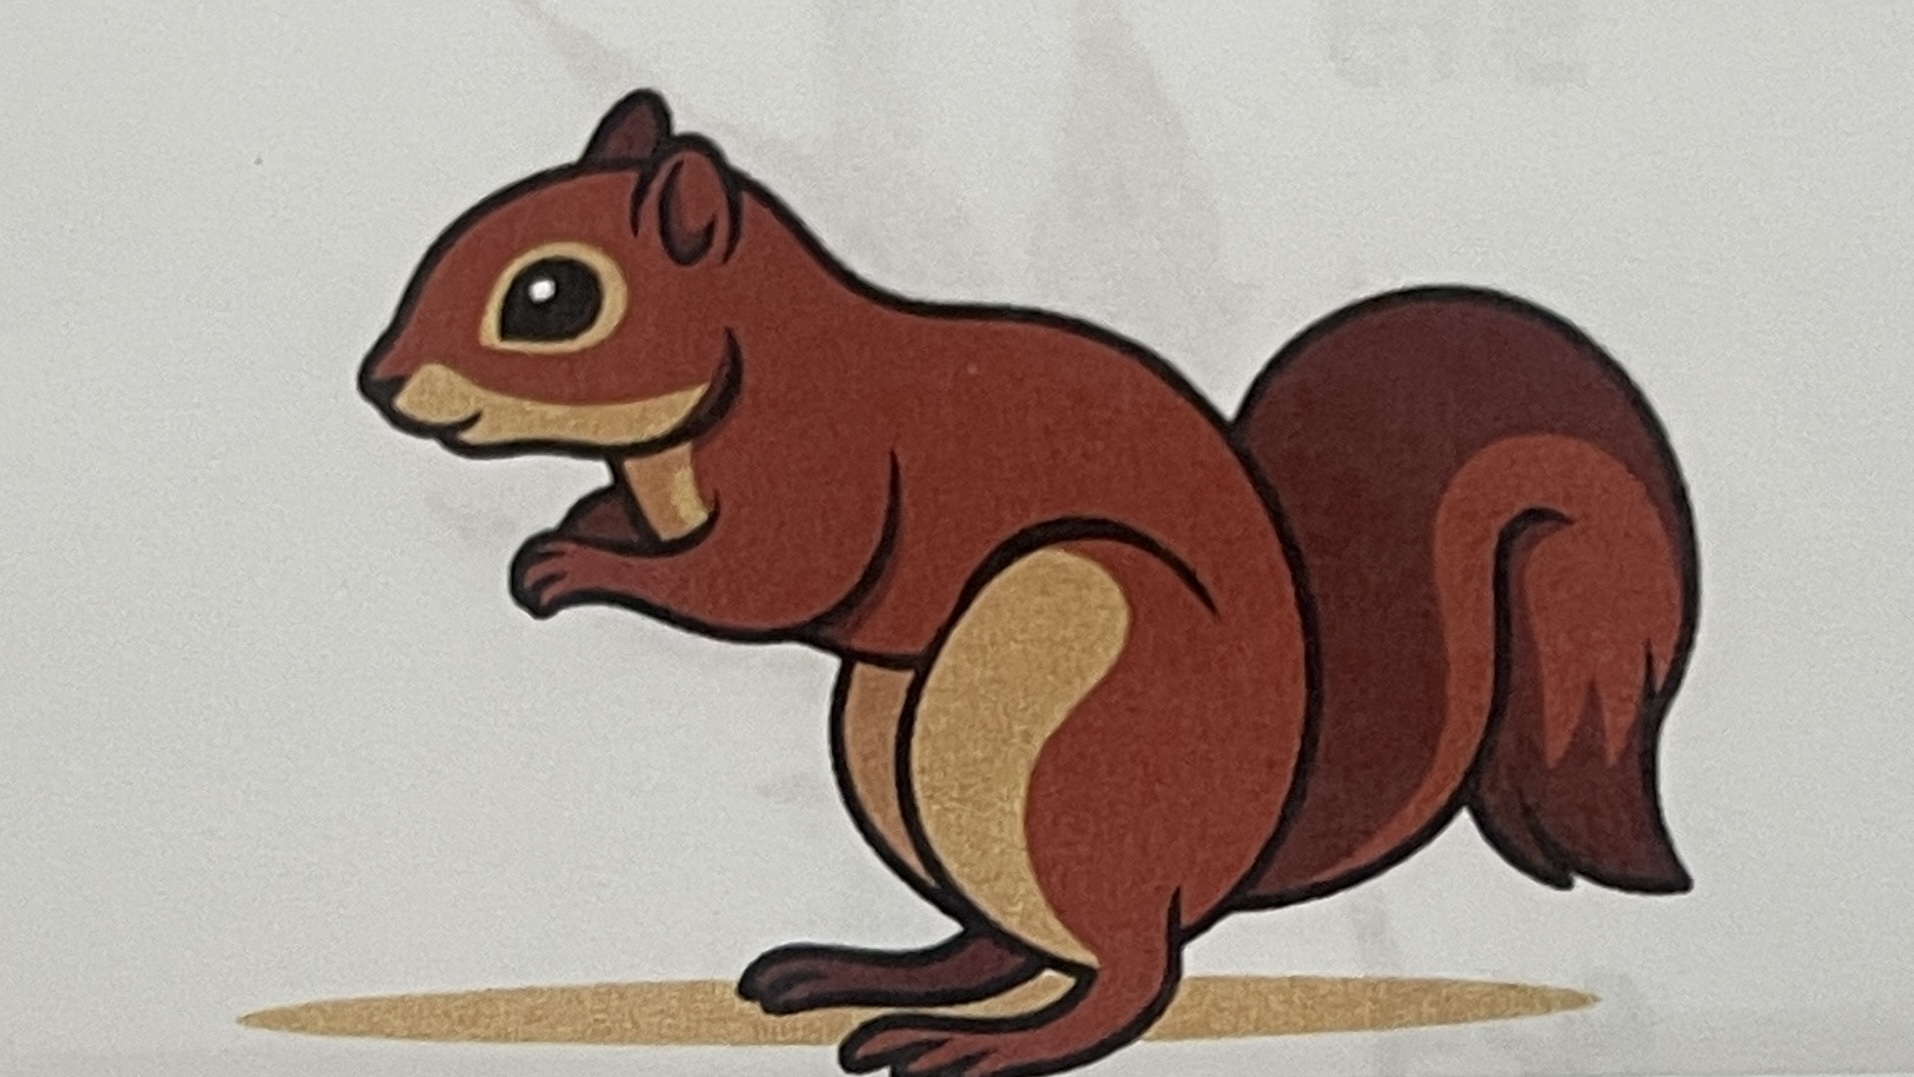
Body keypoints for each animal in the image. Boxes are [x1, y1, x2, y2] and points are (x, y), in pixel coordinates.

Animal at [357, 89, 1699, 1077]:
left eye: (553, 296)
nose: (377, 382)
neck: (760, 348)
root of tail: (1236, 848)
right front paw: (587, 520)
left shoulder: (827, 469)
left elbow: (765, 584)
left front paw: (572, 564)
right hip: (897, 740)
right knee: (999, 939)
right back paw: (864, 976)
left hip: (1064, 708)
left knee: (1130, 972)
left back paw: (978, 1047)